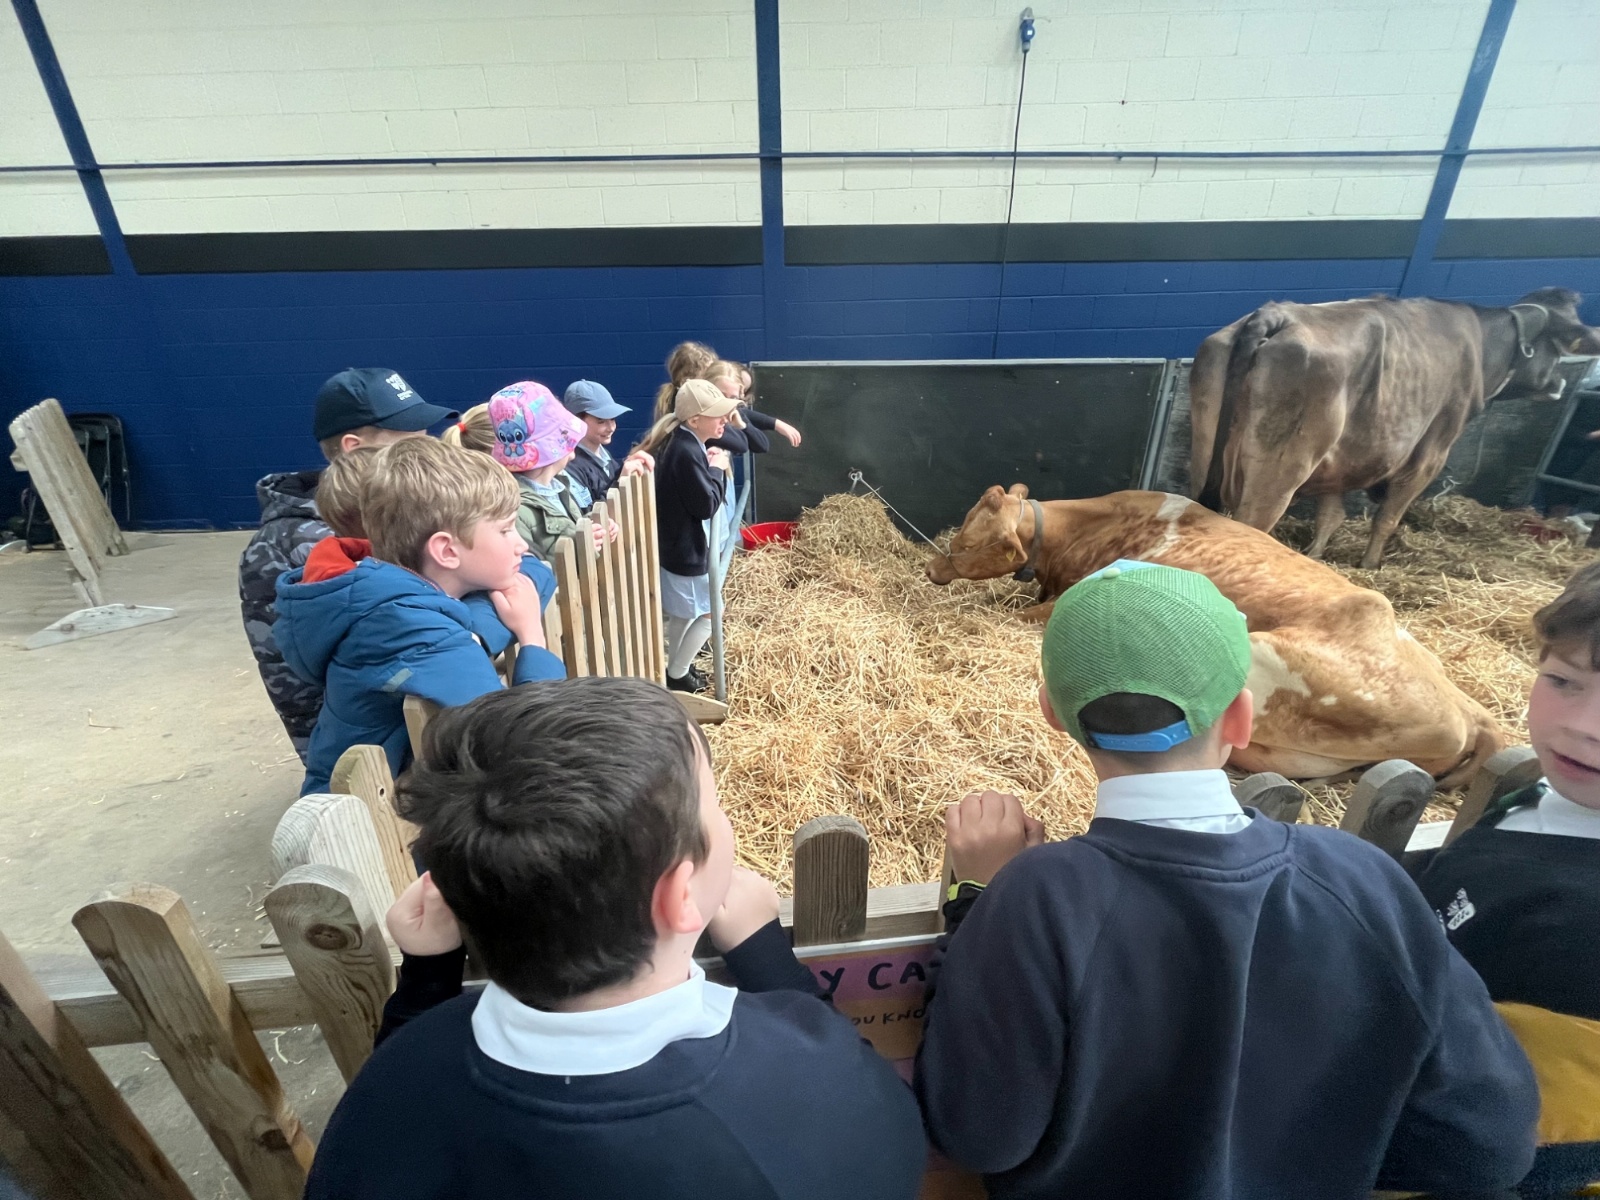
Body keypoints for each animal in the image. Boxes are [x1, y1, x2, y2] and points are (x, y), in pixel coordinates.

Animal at [1189, 288, 1600, 568]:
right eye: (1560, 347)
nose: (1561, 383)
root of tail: (1272, 314)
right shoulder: (1431, 454)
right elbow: (1387, 518)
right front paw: (1370, 566)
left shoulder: (1344, 458)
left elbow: (1331, 515)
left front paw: (1314, 557)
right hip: (1280, 470)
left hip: (1209, 451)